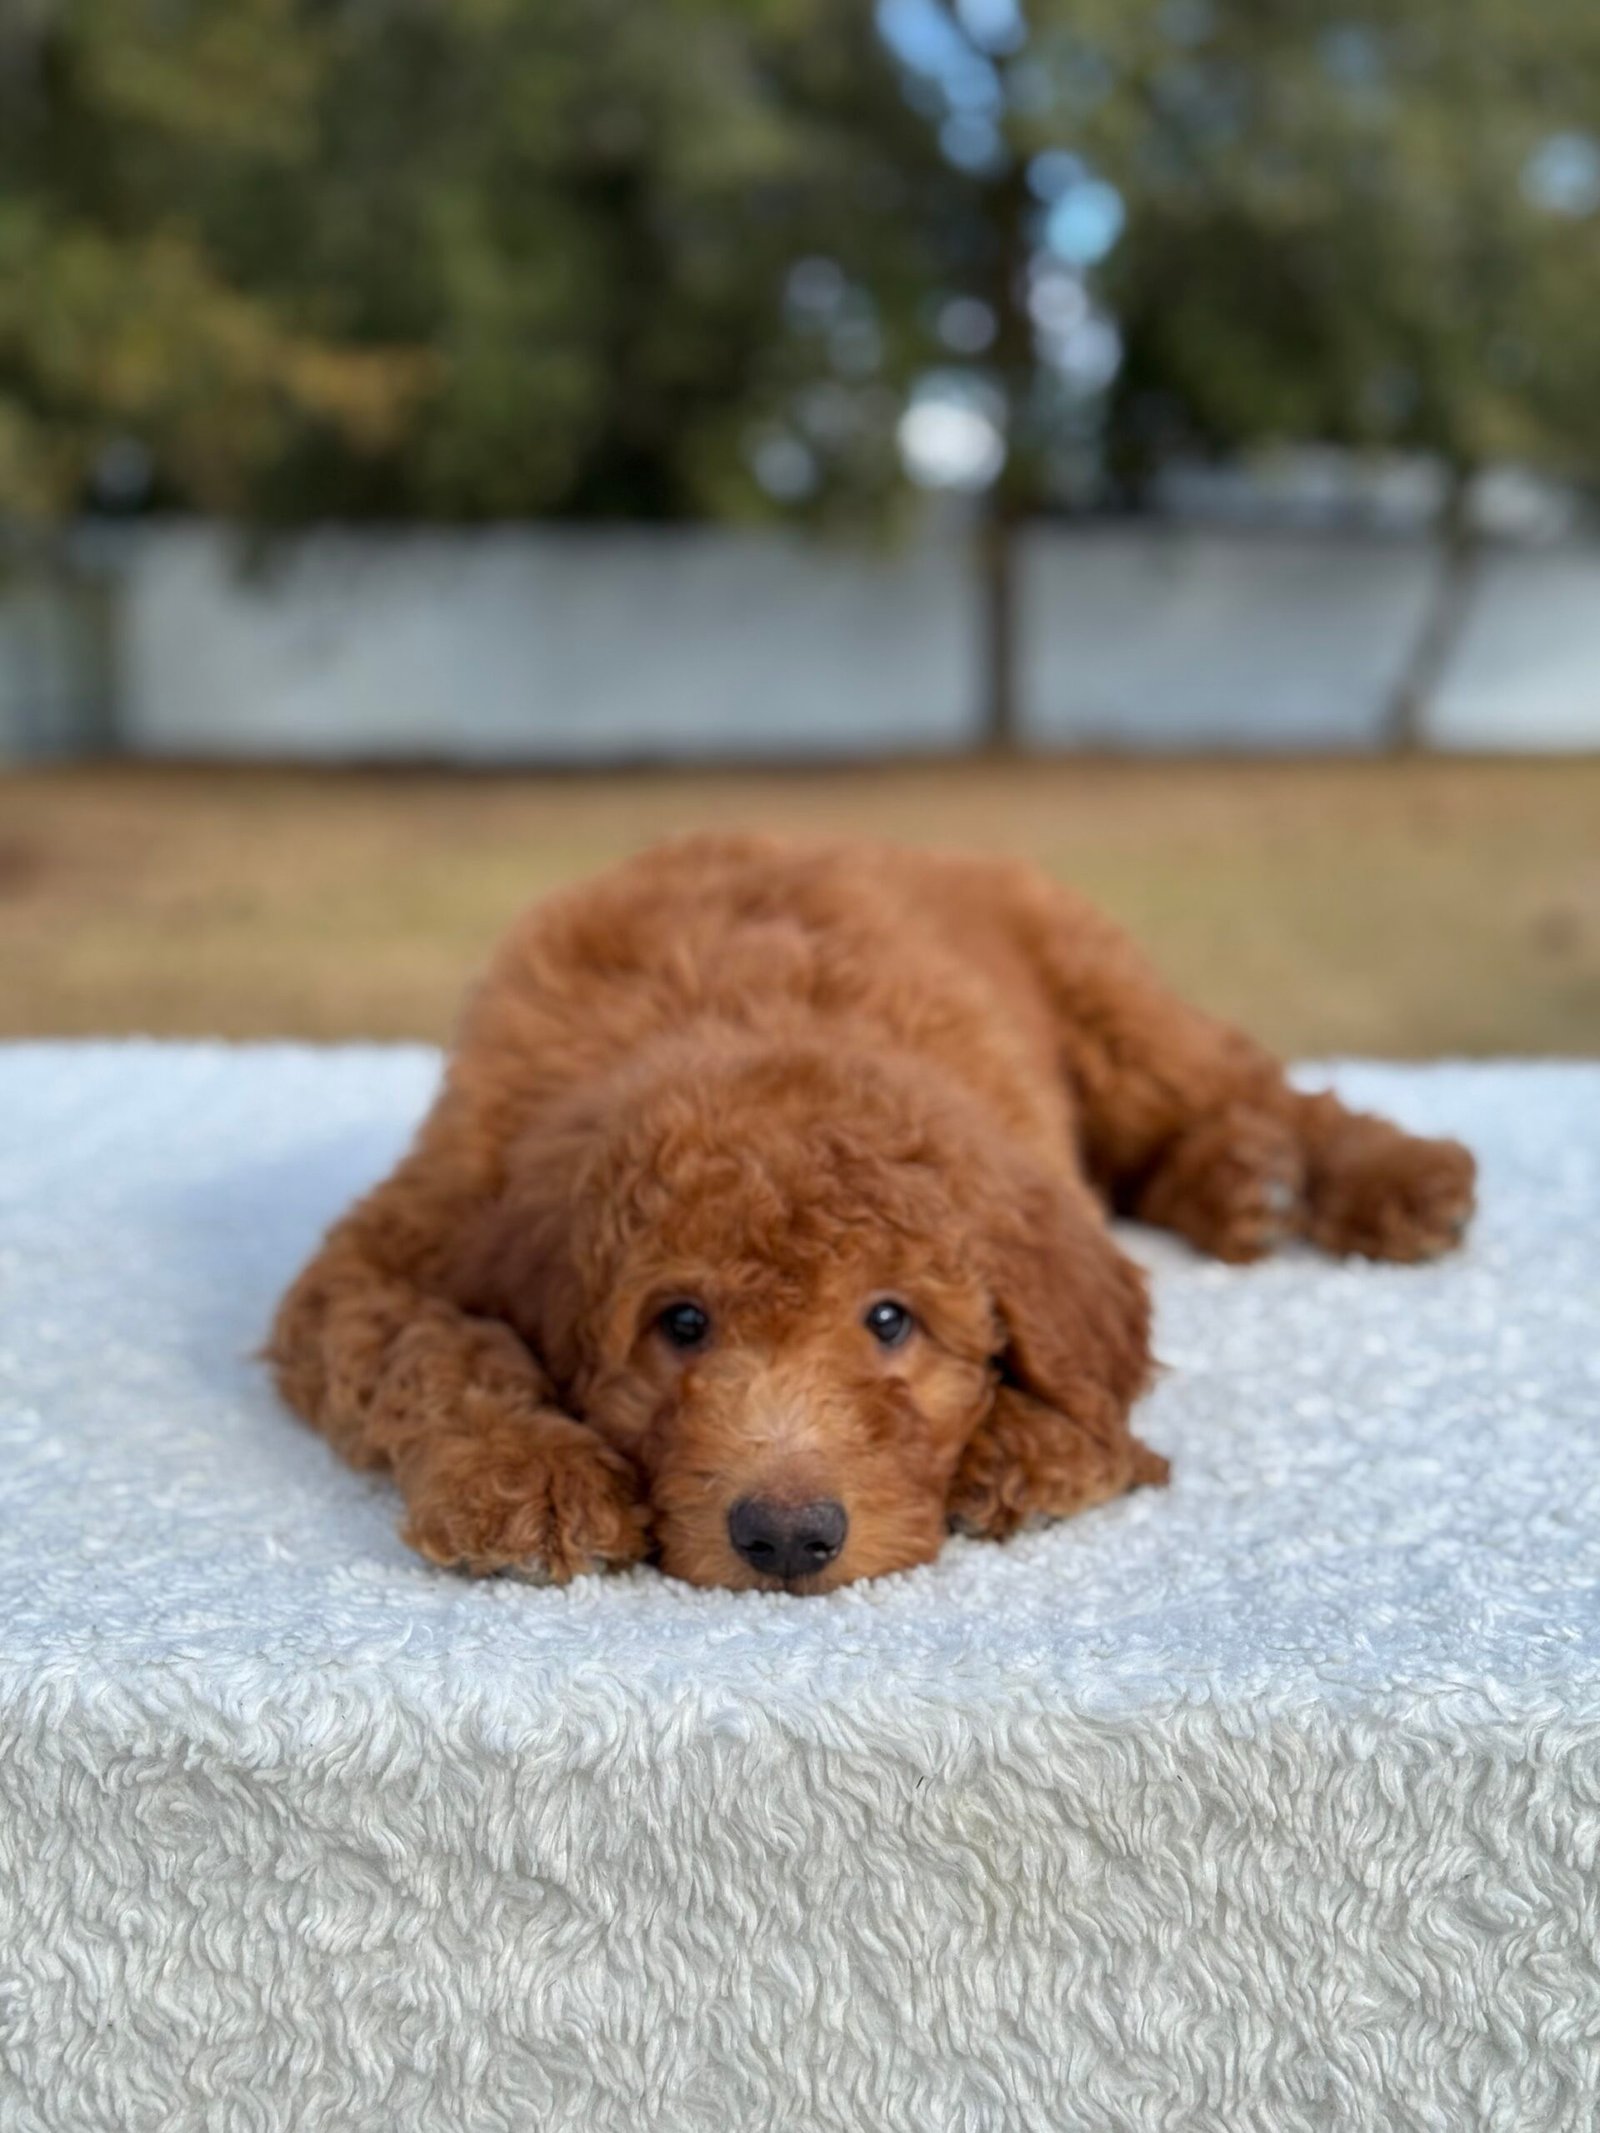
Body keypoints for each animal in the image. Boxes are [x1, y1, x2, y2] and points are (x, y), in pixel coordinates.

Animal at [269, 834, 1475, 1592]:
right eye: (680, 1323)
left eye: (890, 1319)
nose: (787, 1538)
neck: (746, 1024)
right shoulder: (392, 1247)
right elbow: (437, 1347)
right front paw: (526, 1479)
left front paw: (1029, 1447)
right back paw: (1244, 1187)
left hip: (1109, 1001)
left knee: (1242, 1079)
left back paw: (1382, 1176)